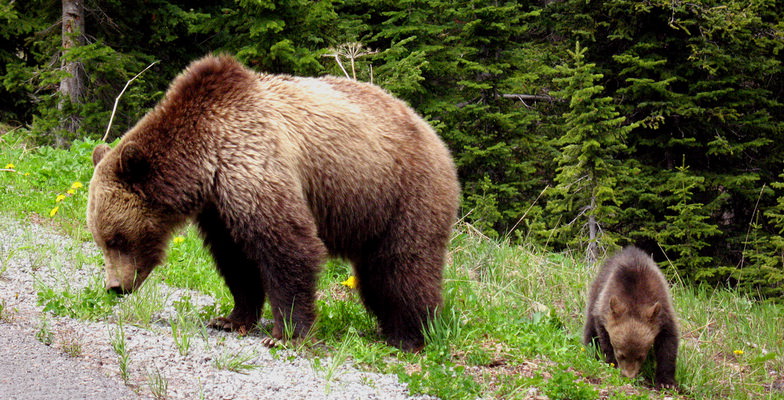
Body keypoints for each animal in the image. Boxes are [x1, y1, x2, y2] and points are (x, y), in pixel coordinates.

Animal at [87, 54, 460, 352]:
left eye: (117, 239)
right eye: (100, 240)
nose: (114, 287)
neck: (204, 161)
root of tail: (432, 132)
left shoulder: (252, 162)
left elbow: (287, 246)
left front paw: (285, 334)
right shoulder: (219, 207)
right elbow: (236, 259)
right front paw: (231, 318)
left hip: (405, 191)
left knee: (404, 264)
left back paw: (411, 335)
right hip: (373, 208)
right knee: (376, 273)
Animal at [584, 245, 676, 390]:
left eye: (640, 356)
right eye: (621, 355)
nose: (629, 376)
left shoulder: (663, 312)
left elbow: (668, 345)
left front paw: (666, 382)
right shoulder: (604, 309)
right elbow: (604, 337)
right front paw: (611, 362)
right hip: (596, 291)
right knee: (590, 327)